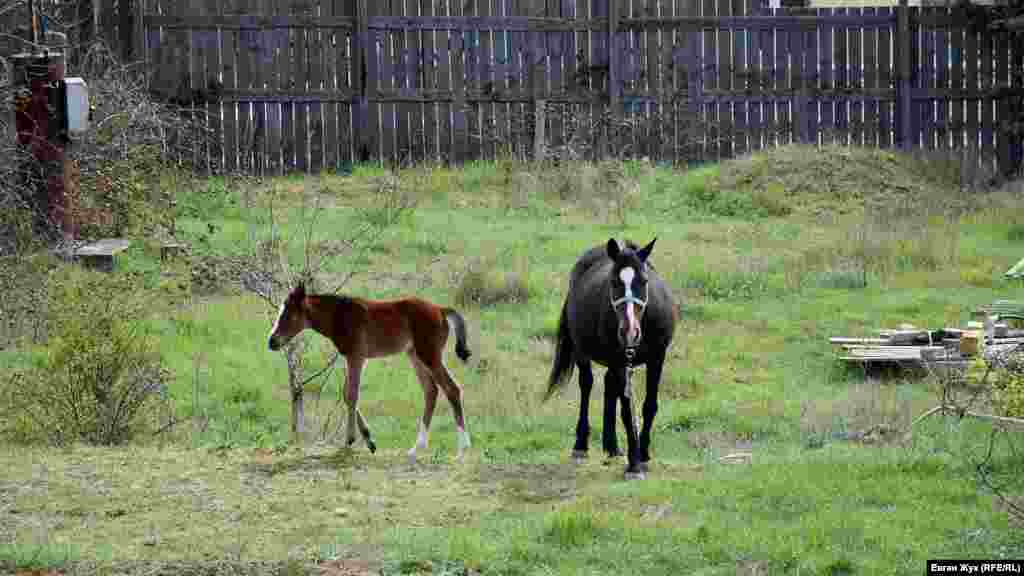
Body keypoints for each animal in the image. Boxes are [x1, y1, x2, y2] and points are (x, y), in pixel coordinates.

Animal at [264, 282, 471, 461]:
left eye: (289, 315)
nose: (272, 341)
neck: (340, 316)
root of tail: (440, 310)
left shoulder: (357, 356)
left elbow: (352, 394)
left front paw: (349, 441)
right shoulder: (351, 358)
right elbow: (347, 395)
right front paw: (369, 440)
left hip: (429, 355)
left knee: (452, 389)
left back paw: (462, 449)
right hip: (414, 355)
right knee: (431, 391)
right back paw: (416, 448)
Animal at [548, 235, 675, 477]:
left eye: (644, 281)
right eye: (614, 282)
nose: (629, 331)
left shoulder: (657, 357)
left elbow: (649, 406)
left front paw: (643, 454)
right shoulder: (619, 361)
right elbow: (626, 411)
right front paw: (634, 464)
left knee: (610, 385)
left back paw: (612, 446)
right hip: (583, 351)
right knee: (587, 384)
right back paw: (581, 445)